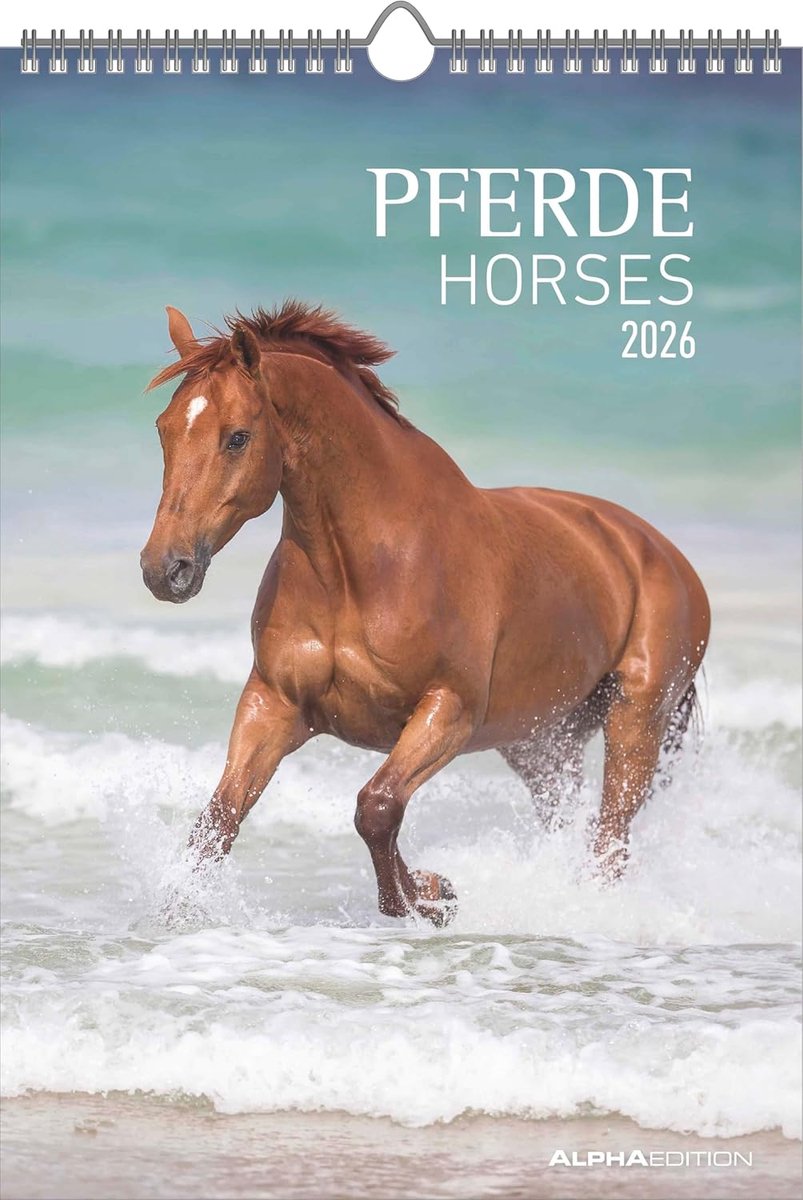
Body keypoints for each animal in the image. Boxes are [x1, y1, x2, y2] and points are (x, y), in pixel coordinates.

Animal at [140, 301, 710, 926]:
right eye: (163, 430)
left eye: (237, 437)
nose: (164, 569)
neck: (360, 569)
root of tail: (659, 551)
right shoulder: (273, 703)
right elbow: (217, 822)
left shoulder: (449, 709)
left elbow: (377, 806)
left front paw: (434, 895)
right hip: (540, 743)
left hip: (636, 721)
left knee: (610, 839)